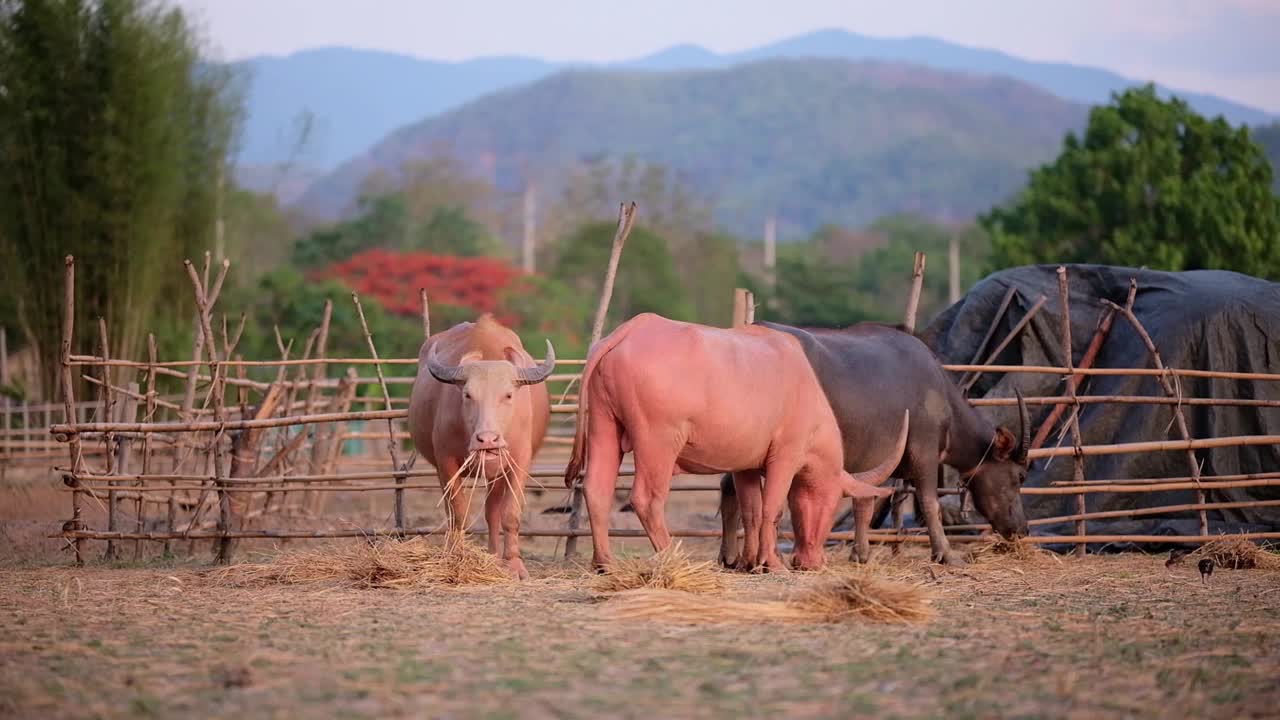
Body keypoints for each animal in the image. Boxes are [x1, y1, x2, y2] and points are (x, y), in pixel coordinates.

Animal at [407, 313, 552, 576]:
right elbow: (458, 512)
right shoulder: (445, 462)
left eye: (508, 395)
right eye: (467, 395)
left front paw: (514, 564)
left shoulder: (518, 461)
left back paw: (494, 556)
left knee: (492, 511)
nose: (487, 440)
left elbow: (510, 513)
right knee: (453, 512)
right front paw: (457, 556)